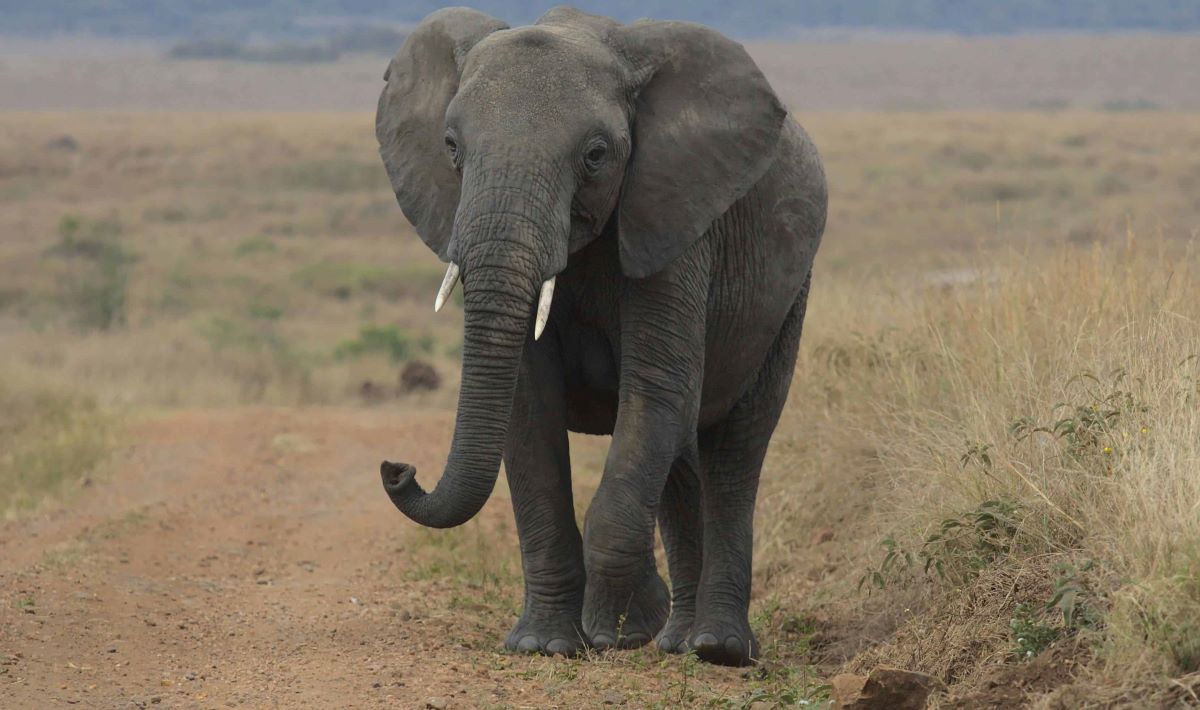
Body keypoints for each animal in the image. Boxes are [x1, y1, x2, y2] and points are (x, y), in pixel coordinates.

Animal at [375, 6, 827, 667]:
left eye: (595, 154)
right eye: (451, 148)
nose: (397, 468)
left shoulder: (675, 218)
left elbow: (655, 393)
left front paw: (619, 629)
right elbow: (528, 412)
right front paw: (543, 645)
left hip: (788, 296)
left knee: (735, 450)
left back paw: (716, 648)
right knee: (682, 459)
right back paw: (676, 640)